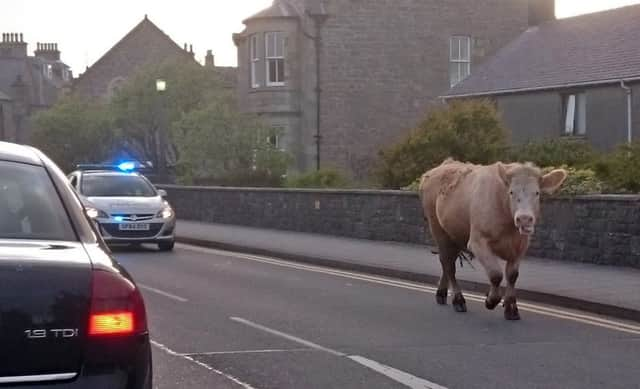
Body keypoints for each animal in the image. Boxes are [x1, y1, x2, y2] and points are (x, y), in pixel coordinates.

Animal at [420, 158, 564, 318]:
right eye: (511, 192)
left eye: (537, 193)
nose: (524, 219)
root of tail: (442, 165)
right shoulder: (477, 242)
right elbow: (496, 274)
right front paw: (491, 300)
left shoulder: (521, 246)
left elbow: (512, 275)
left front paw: (511, 307)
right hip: (437, 228)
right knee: (449, 265)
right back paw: (458, 300)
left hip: (455, 233)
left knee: (448, 261)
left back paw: (441, 293)